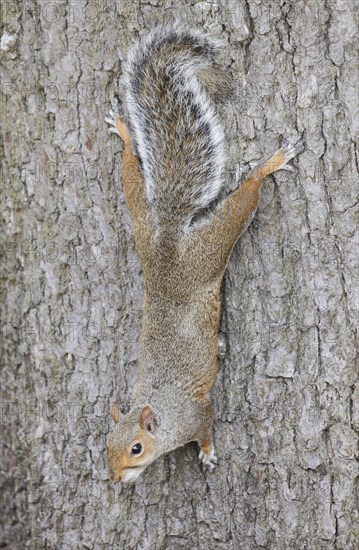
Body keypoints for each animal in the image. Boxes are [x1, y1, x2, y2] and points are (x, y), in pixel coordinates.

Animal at [105, 21, 304, 484]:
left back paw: (268, 165)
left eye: (136, 448)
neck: (162, 411)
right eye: (107, 445)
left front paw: (208, 454)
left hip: (213, 243)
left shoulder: (197, 412)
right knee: (130, 174)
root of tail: (168, 241)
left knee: (243, 199)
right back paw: (124, 134)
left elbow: (208, 428)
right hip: (141, 222)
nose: (115, 479)